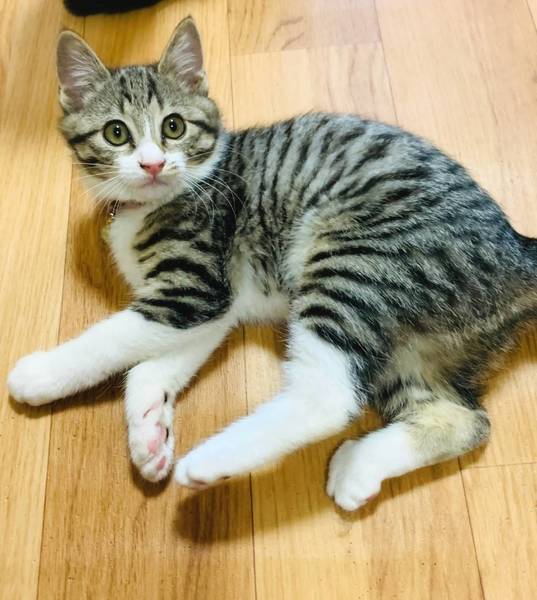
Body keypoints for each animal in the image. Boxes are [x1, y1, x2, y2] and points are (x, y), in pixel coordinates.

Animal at [8, 17, 537, 511]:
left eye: (174, 126)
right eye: (116, 133)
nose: (153, 164)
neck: (153, 203)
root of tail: (516, 246)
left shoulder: (197, 284)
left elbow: (113, 338)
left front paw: (40, 374)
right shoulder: (219, 303)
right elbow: (155, 362)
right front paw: (150, 432)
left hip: (358, 260)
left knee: (329, 396)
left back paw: (213, 458)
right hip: (419, 340)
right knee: (466, 419)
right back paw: (358, 467)